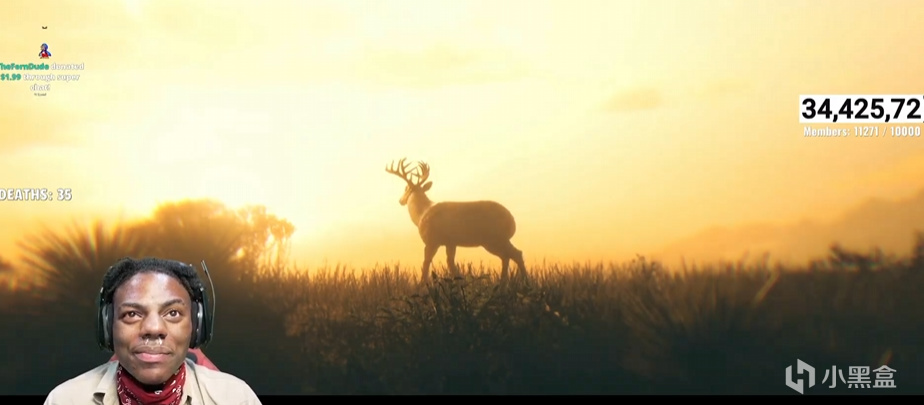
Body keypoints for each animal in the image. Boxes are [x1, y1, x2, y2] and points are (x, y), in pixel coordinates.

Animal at [384, 156, 528, 282]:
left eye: (406, 188)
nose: (401, 200)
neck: (421, 214)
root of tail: (512, 221)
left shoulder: (431, 241)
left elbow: (426, 264)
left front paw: (422, 285)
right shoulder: (450, 242)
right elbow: (451, 264)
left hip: (494, 238)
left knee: (515, 254)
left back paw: (524, 283)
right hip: (497, 240)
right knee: (508, 256)